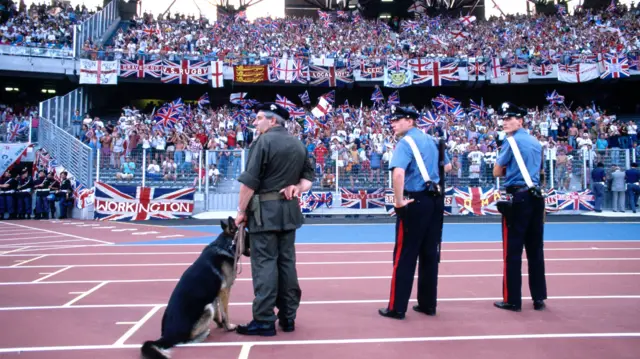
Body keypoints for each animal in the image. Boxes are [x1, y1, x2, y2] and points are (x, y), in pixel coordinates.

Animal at [141, 218, 250, 358]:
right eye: (248, 236)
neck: (225, 245)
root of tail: (167, 336)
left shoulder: (216, 293)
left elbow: (218, 312)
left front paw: (220, 324)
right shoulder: (225, 290)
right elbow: (225, 312)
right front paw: (228, 327)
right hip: (207, 309)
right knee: (185, 340)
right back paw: (203, 334)